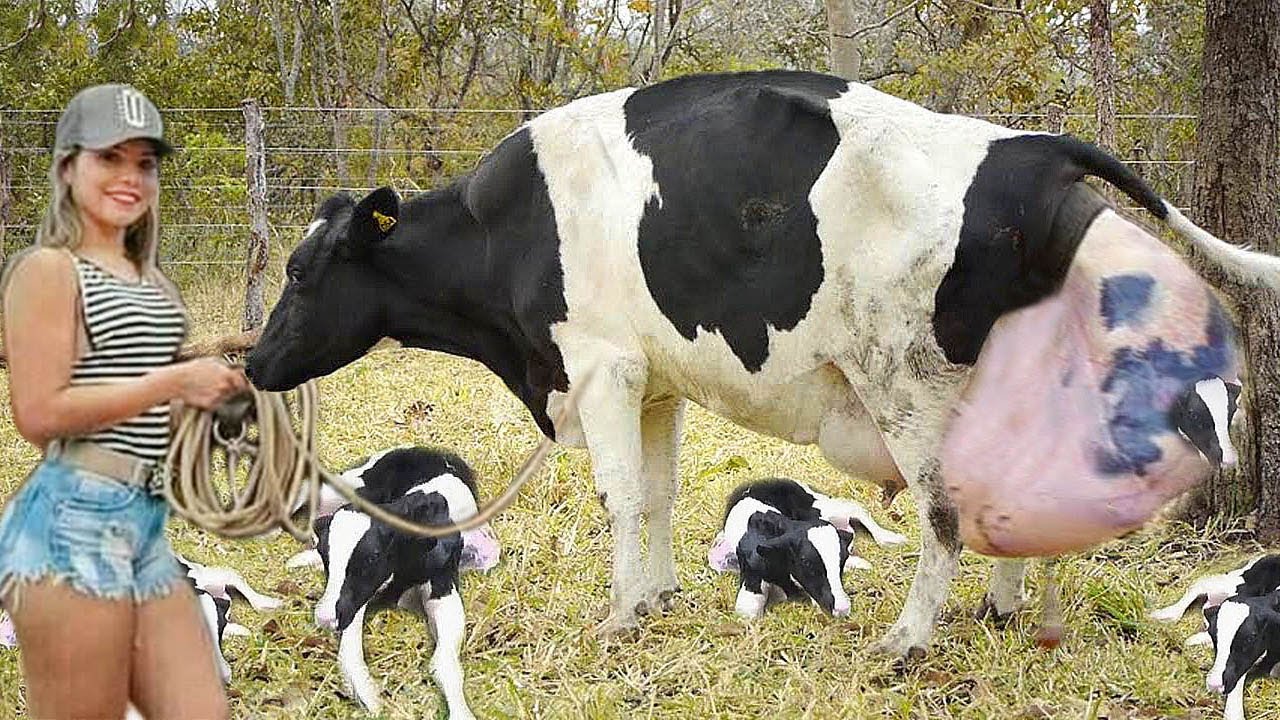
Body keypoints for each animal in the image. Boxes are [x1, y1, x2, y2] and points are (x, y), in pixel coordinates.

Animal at [245, 70, 1280, 656]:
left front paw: (619, 615)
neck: (504, 228)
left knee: (947, 513)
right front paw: (657, 596)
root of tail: (1030, 148)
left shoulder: (601, 369)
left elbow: (622, 496)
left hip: (911, 383)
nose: (254, 363)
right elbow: (658, 493)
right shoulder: (655, 383)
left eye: (300, 270)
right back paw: (1011, 611)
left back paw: (909, 638)